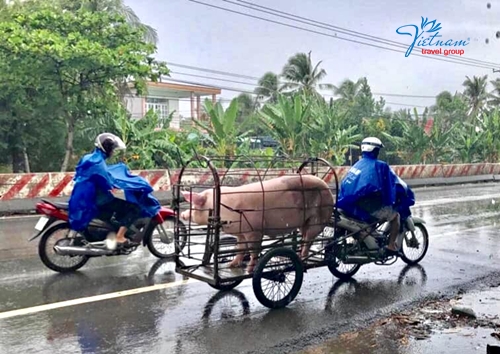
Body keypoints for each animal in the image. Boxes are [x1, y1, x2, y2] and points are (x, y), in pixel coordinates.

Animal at [182, 176, 334, 272]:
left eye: (194, 207)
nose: (183, 214)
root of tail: (329, 189)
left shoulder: (254, 230)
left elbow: (253, 250)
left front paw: (249, 270)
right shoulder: (241, 233)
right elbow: (240, 248)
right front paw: (231, 265)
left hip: (319, 218)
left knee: (309, 240)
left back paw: (302, 259)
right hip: (304, 223)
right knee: (305, 238)